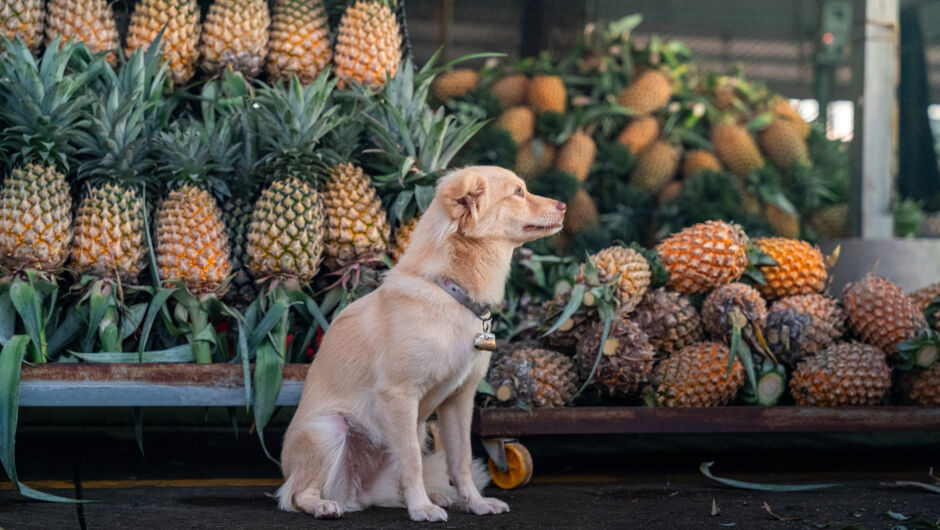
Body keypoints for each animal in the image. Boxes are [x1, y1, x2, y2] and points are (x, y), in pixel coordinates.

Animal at [278, 166, 564, 520]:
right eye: (518, 193)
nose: (564, 205)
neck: (451, 292)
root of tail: (355, 493)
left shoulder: (459, 400)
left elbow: (461, 460)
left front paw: (476, 503)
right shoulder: (399, 395)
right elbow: (413, 461)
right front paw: (421, 509)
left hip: (420, 429)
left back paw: (435, 496)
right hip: (330, 429)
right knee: (295, 495)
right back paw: (323, 505)